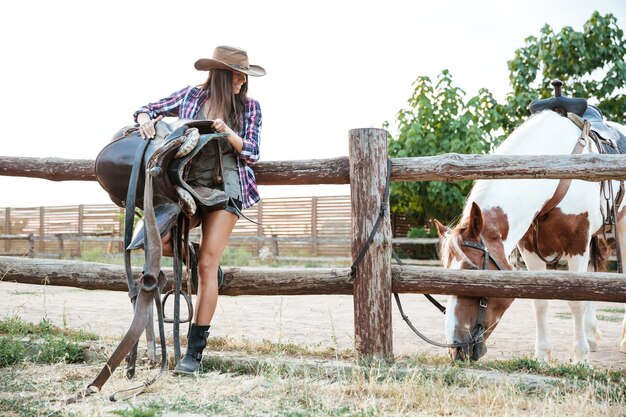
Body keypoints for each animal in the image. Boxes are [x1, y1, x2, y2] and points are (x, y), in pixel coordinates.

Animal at [432, 109, 624, 362]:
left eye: (471, 273)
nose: (456, 348)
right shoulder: (530, 249)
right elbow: (539, 300)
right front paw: (542, 355)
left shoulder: (577, 243)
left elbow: (576, 300)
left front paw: (581, 358)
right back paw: (591, 337)